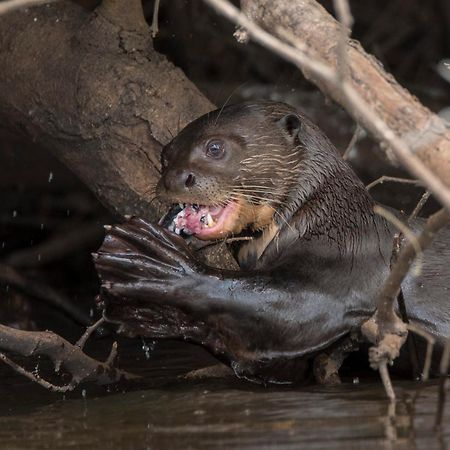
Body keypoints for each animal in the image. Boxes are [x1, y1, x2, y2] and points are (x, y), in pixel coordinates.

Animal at [93, 101, 448, 384]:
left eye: (214, 148)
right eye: (164, 156)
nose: (175, 179)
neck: (329, 219)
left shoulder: (348, 263)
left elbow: (290, 312)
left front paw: (151, 265)